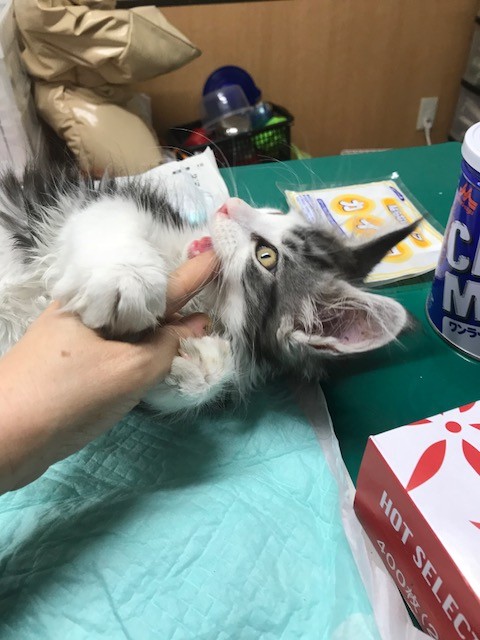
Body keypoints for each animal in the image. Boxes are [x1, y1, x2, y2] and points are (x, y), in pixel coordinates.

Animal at [0, 164, 416, 415]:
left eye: (266, 257)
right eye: (275, 213)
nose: (230, 205)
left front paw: (199, 364)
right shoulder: (95, 201)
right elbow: (109, 219)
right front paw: (127, 275)